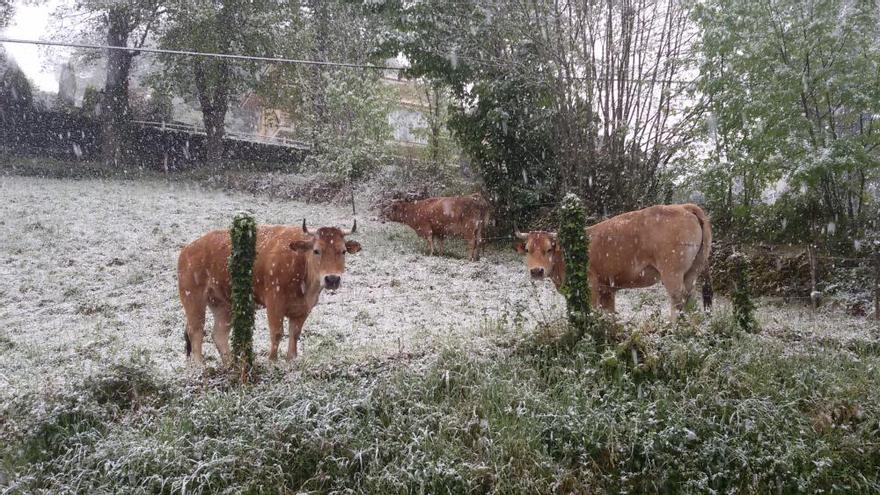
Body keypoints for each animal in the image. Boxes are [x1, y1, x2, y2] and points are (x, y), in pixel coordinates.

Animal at [179, 220, 360, 364]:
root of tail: (188, 249)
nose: (332, 279)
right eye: (316, 250)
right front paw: (272, 361)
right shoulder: (274, 303)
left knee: (219, 334)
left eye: (343, 251)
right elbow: (277, 333)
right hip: (193, 299)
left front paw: (291, 359)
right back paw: (200, 366)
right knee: (196, 331)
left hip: (223, 304)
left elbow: (295, 334)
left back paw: (231, 364)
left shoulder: (303, 309)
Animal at [516, 204, 708, 318]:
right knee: (690, 300)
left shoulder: (591, 288)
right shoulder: (607, 290)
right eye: (527, 250)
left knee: (678, 300)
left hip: (672, 275)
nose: (536, 271)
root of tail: (682, 207)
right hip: (692, 273)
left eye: (549, 249)